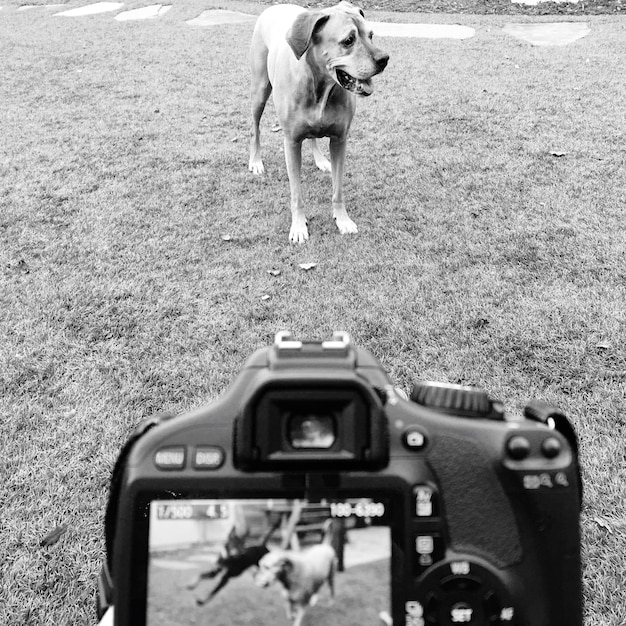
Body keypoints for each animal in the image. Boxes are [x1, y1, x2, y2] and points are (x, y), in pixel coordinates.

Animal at [247, 1, 386, 243]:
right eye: (348, 40)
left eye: (371, 35)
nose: (384, 59)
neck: (321, 85)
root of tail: (275, 7)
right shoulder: (291, 143)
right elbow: (296, 194)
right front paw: (298, 226)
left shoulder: (340, 139)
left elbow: (338, 188)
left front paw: (342, 219)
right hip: (260, 89)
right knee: (255, 127)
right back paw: (255, 161)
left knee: (312, 137)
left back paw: (320, 160)